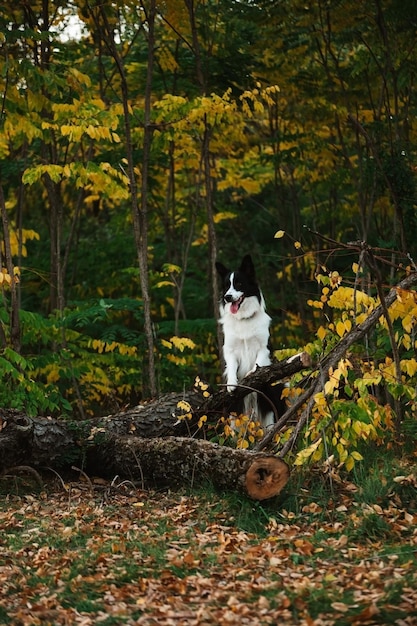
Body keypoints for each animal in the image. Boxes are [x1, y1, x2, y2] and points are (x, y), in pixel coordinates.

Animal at [214, 254, 280, 428]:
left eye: (239, 283)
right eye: (226, 286)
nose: (227, 297)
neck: (243, 319)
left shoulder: (264, 348)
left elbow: (258, 362)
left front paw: (251, 374)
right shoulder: (230, 350)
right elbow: (231, 365)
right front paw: (232, 383)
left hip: (268, 408)